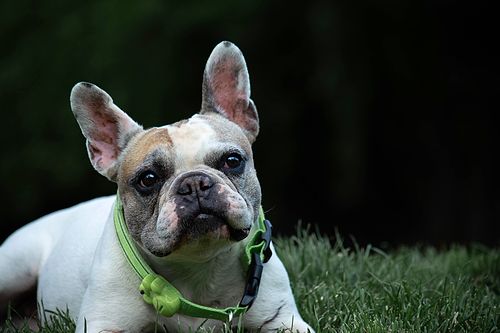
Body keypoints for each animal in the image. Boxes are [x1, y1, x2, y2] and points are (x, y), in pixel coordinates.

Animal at [0, 42, 312, 332]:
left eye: (232, 161)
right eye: (148, 179)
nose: (194, 183)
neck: (197, 266)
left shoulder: (283, 320)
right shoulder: (103, 323)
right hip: (16, 267)